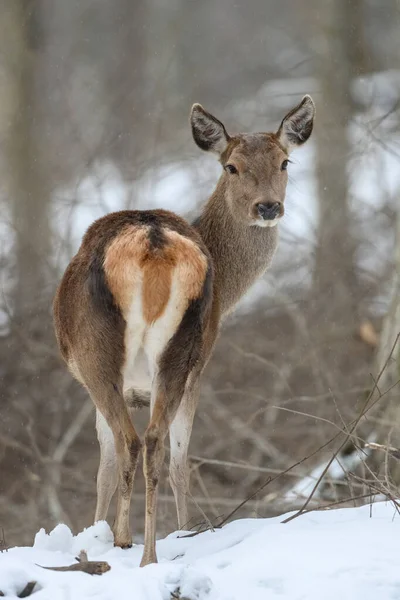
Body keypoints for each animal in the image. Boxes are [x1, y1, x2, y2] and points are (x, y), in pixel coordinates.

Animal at [53, 94, 316, 568]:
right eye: (231, 166)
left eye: (285, 162)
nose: (268, 206)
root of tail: (153, 243)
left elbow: (107, 465)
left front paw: (100, 537)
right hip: (180, 351)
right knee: (156, 442)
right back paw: (148, 553)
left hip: (102, 354)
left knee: (135, 443)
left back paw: (133, 547)